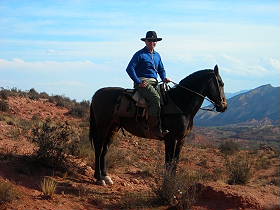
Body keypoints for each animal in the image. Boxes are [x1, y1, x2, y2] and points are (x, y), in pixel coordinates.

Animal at [89, 65, 228, 185]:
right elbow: (168, 162)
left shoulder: (181, 139)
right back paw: (99, 178)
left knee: (105, 149)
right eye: (221, 83)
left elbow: (175, 161)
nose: (224, 106)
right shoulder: (170, 138)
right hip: (102, 126)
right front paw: (167, 184)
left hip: (113, 127)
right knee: (99, 147)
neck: (180, 103)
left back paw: (105, 176)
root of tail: (96, 94)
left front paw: (172, 183)